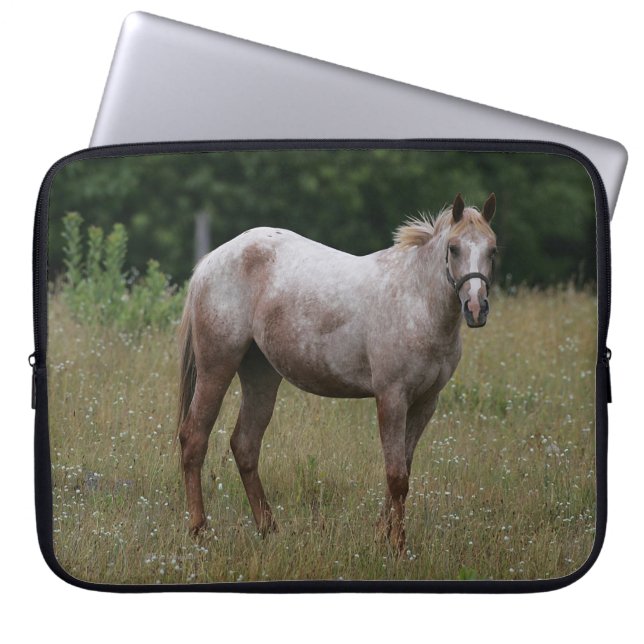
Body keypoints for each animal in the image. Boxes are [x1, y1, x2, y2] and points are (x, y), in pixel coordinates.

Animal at [176, 192, 497, 552]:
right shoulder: (392, 398)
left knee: (245, 445)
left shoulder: (426, 403)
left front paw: (381, 536)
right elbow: (397, 476)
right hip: (216, 368)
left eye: (493, 250)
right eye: (454, 248)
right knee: (194, 439)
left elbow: (403, 470)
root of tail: (210, 261)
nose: (476, 308)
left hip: (261, 375)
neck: (417, 302)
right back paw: (199, 530)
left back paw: (268, 529)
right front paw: (397, 546)